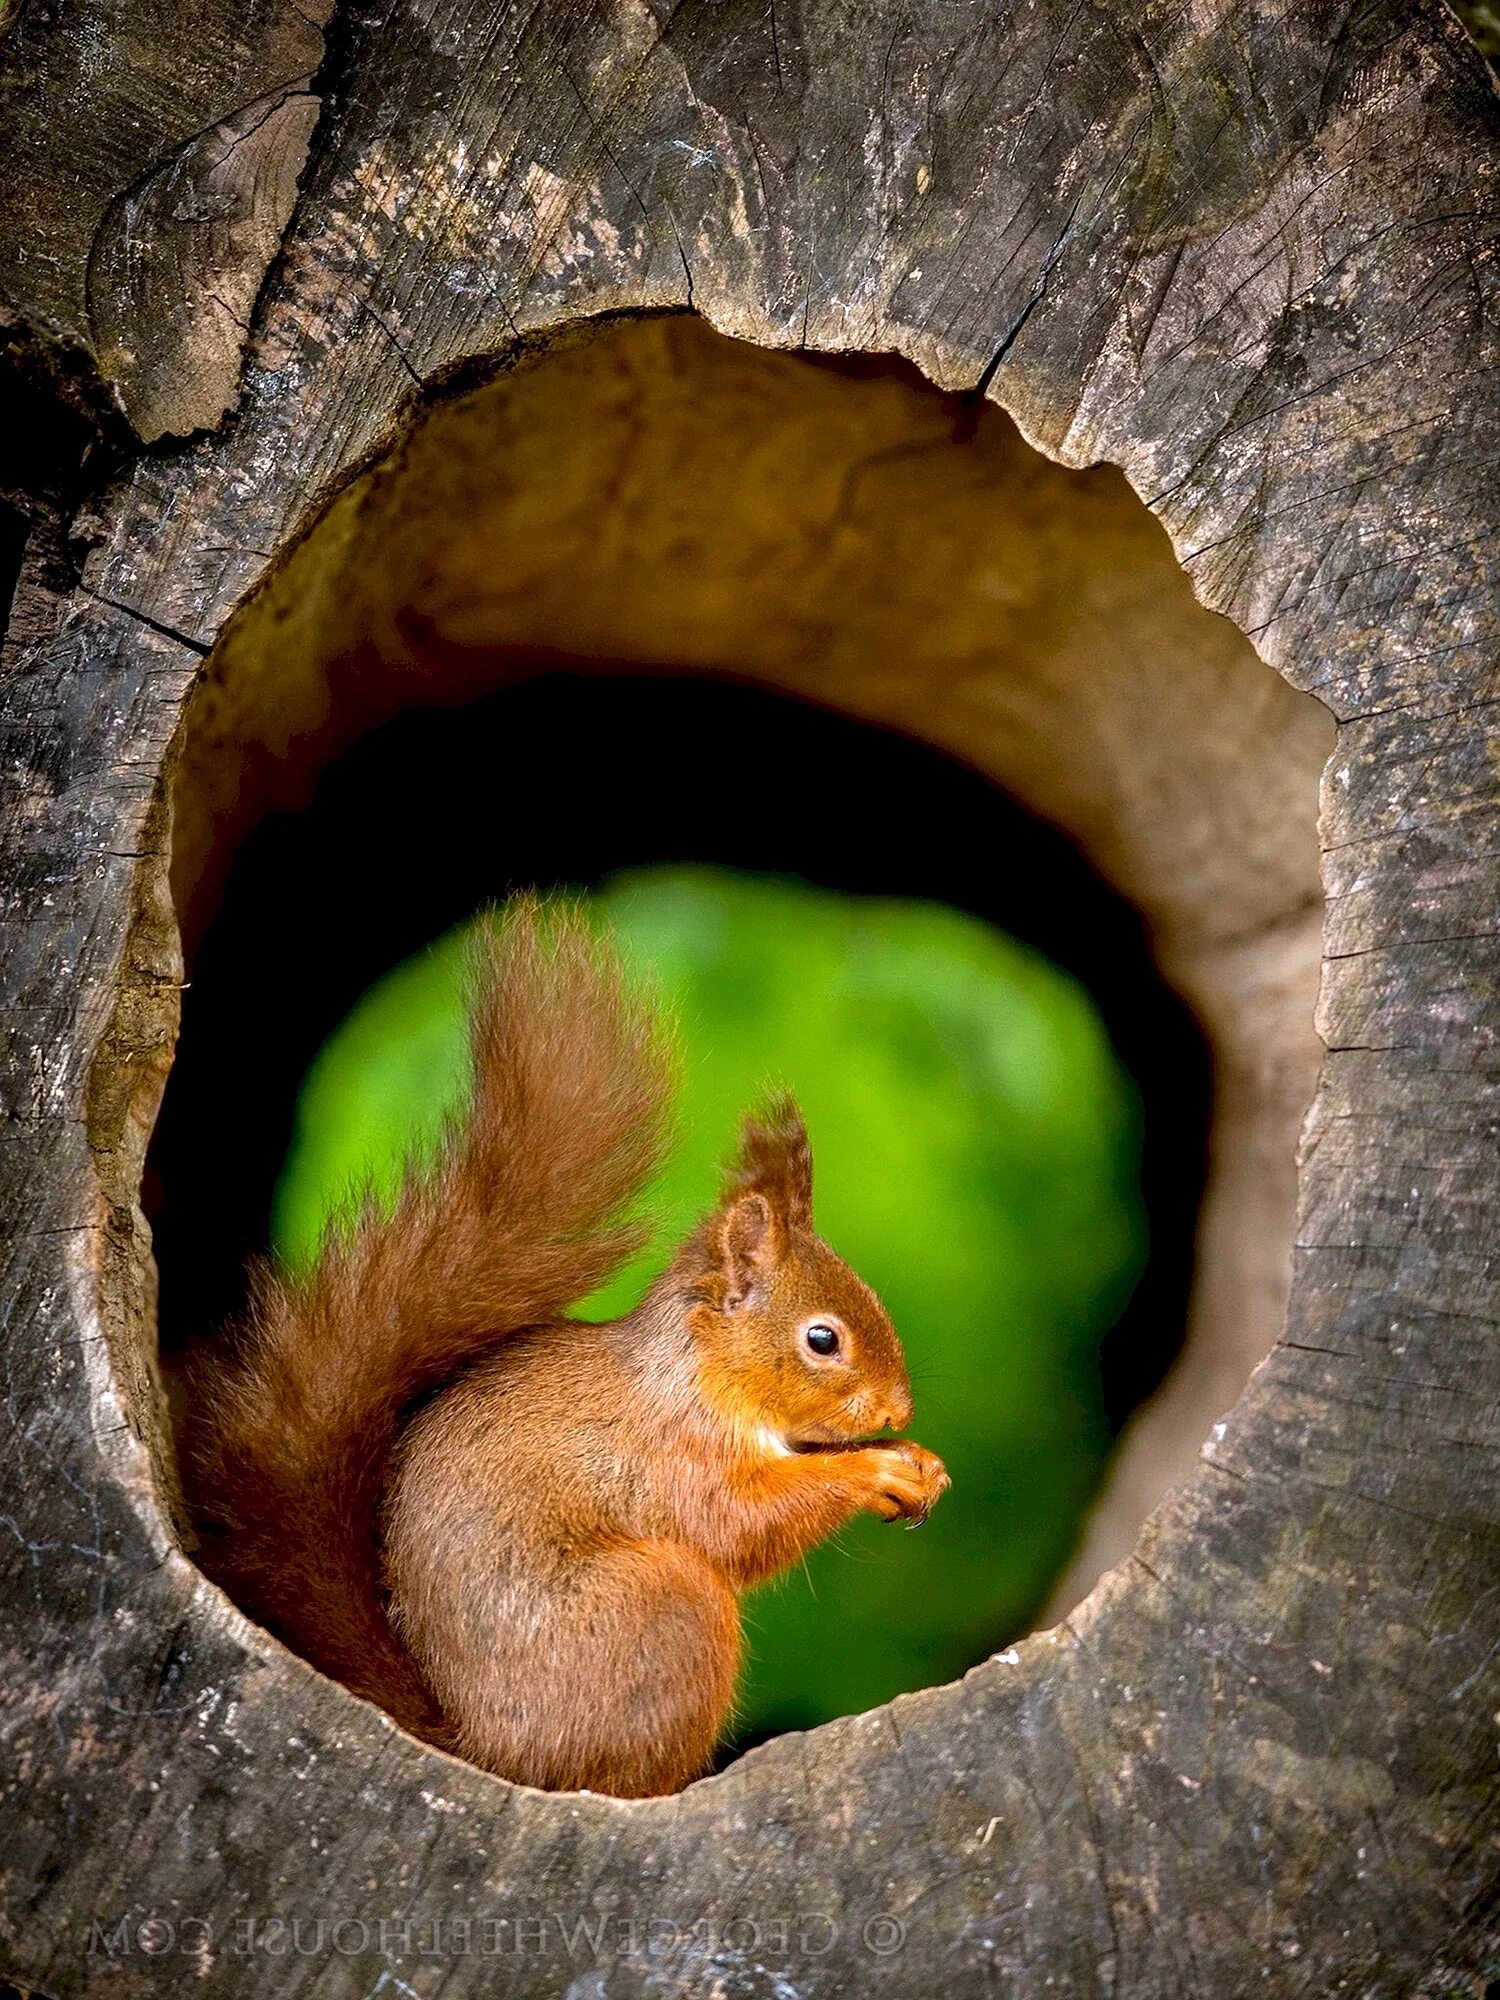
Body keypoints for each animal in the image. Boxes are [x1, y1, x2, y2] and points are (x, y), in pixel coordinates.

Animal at [182, 904, 944, 1800]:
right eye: (822, 1339)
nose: (899, 1407)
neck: (695, 1377)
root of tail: (482, 1749)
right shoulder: (667, 1454)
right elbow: (739, 1522)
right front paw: (877, 1469)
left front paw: (921, 1462)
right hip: (666, 1606)